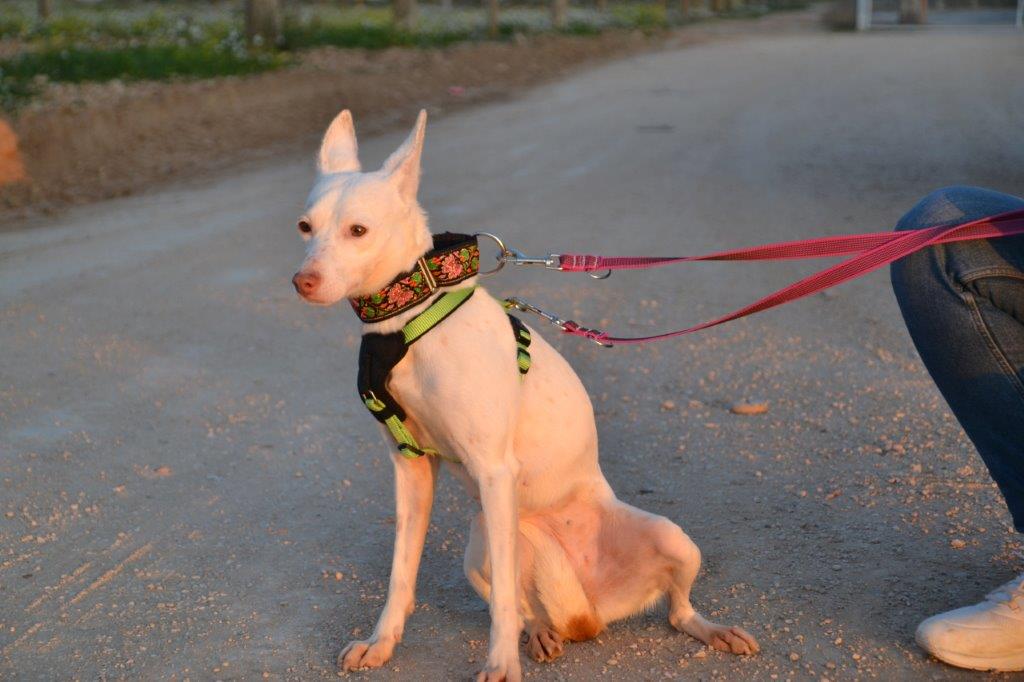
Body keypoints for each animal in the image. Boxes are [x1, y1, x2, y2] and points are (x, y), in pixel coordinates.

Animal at [292, 109, 757, 675]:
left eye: (358, 230)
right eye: (305, 227)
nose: (302, 282)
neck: (409, 321)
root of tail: (589, 611)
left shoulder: (494, 469)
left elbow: (498, 608)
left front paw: (500, 669)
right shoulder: (411, 469)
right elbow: (402, 575)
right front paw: (382, 642)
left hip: (670, 538)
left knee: (676, 610)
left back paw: (712, 630)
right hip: (480, 548)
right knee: (523, 607)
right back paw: (540, 633)